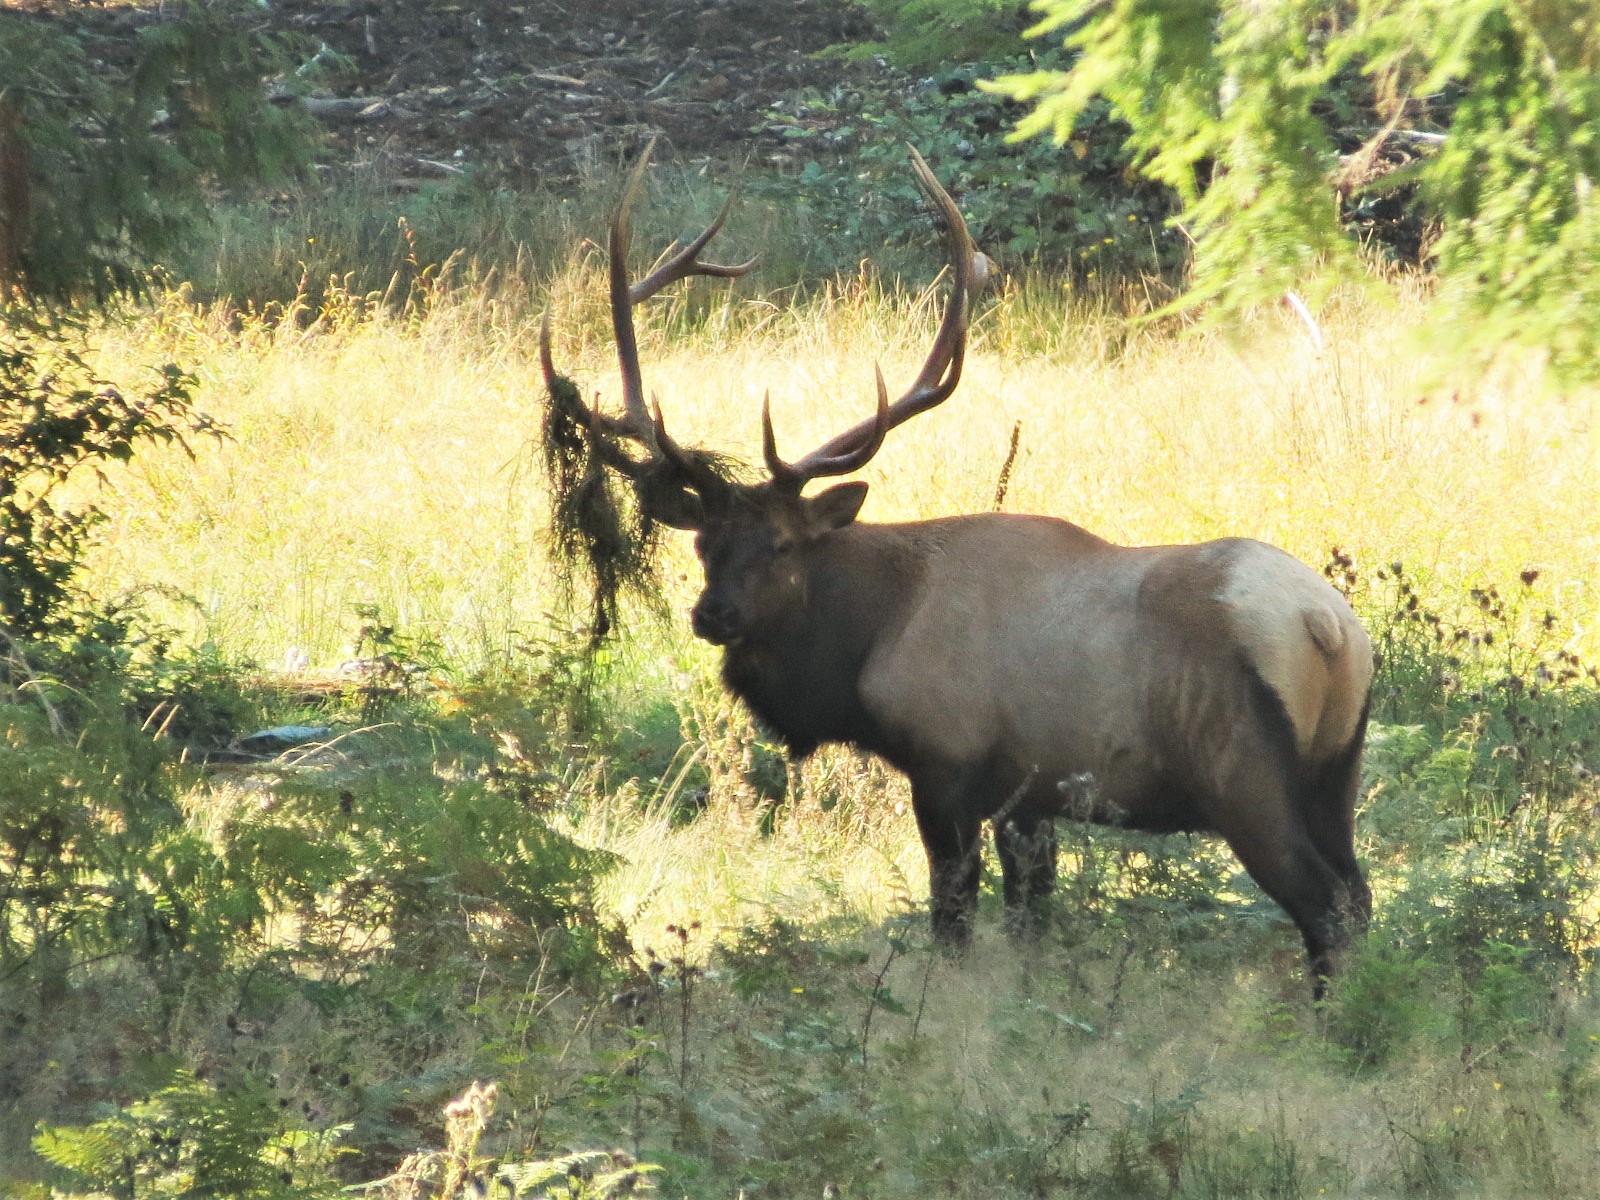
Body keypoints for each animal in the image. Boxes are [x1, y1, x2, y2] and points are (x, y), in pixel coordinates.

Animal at [540, 143, 1375, 997]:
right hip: (1337, 769)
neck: (866, 644)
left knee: (1325, 902)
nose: (714, 615)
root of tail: (1328, 627)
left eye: (782, 544)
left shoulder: (947, 763)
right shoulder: (1028, 794)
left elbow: (952, 915)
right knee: (1360, 890)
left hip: (1244, 773)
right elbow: (1032, 916)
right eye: (704, 544)